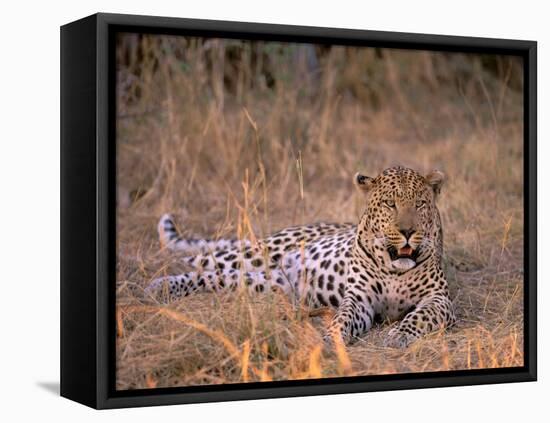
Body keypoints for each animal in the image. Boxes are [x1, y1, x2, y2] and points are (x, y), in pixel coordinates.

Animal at [146, 166, 458, 348]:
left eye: (420, 204)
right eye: (390, 204)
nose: (407, 231)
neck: (394, 268)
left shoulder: (439, 300)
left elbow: (420, 316)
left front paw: (400, 335)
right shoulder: (359, 298)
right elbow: (344, 316)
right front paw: (333, 335)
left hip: (268, 283)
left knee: (214, 275)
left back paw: (164, 287)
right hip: (257, 253)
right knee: (201, 259)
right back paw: (157, 283)